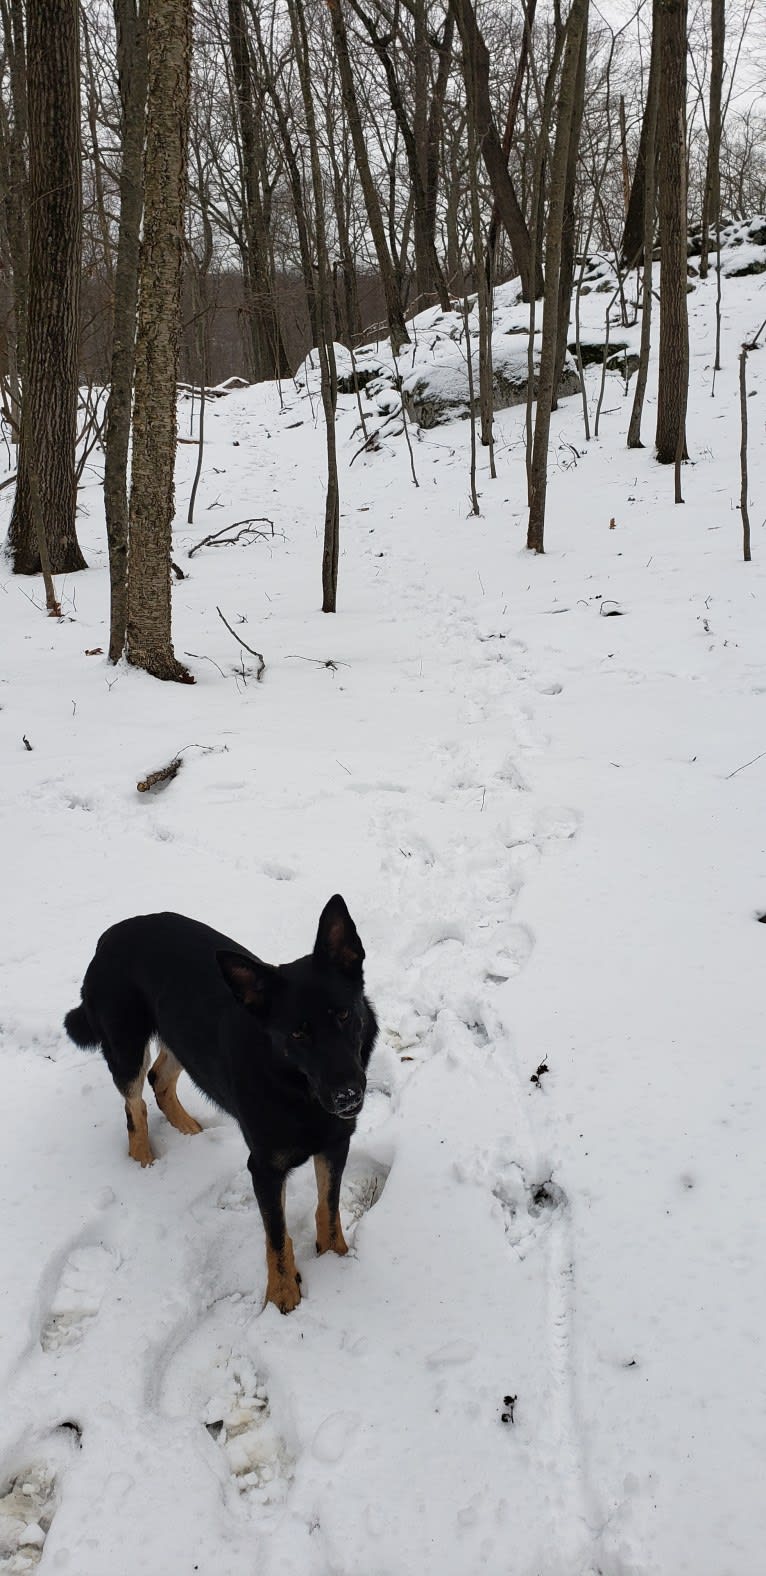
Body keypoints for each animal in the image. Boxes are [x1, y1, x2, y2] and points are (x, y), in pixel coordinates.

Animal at [65, 895, 376, 1311]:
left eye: (344, 1014)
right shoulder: (264, 1168)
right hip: (126, 1046)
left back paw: (187, 1126)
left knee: (160, 1079)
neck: (297, 1087)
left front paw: (336, 1259)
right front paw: (282, 1296)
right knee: (135, 1104)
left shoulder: (335, 1144)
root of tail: (107, 938)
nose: (348, 1095)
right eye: (297, 1034)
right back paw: (143, 1159)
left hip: (180, 1034)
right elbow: (276, 1237)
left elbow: (328, 1208)